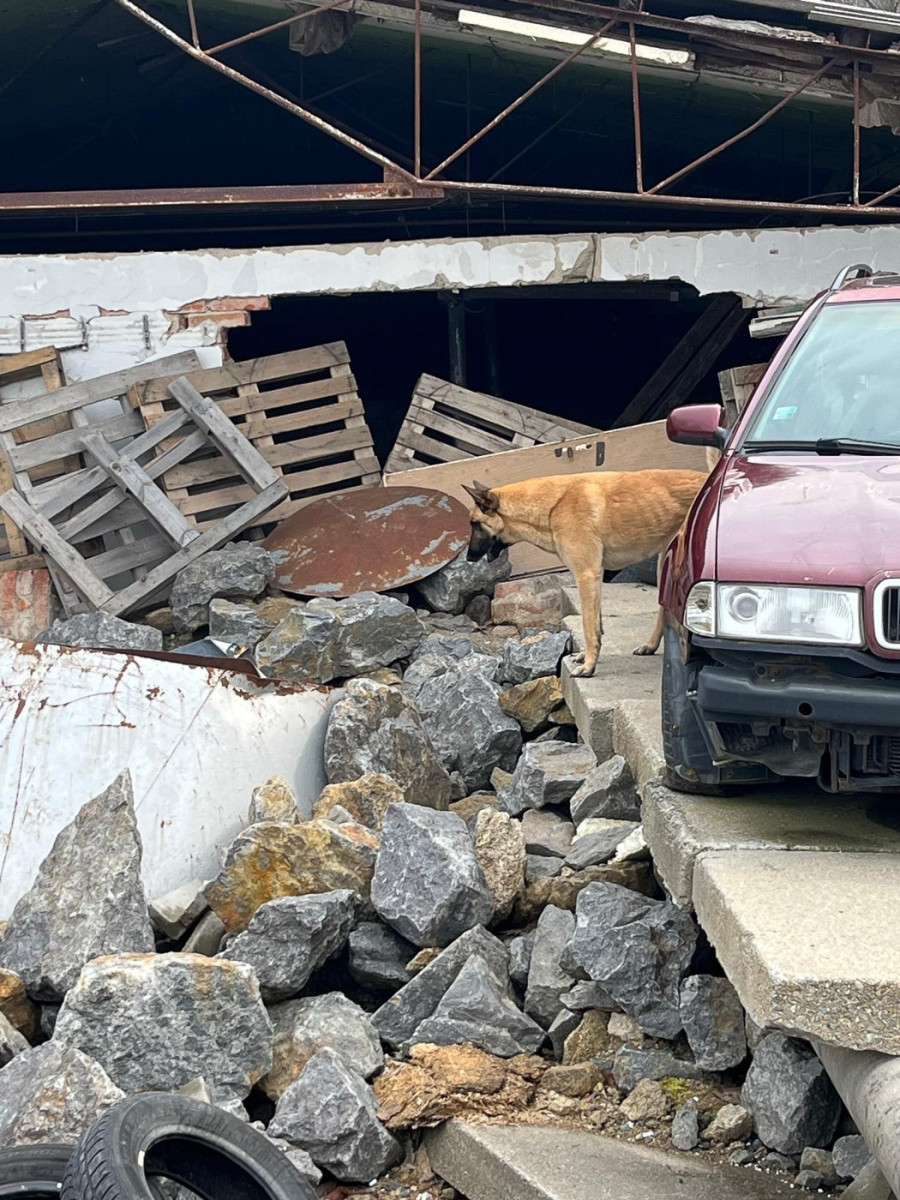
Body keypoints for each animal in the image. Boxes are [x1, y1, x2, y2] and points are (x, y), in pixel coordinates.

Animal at [464, 469, 707, 677]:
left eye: (474, 524)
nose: (468, 557)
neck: (553, 506)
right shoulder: (594, 578)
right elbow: (597, 627)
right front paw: (587, 657)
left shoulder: (586, 575)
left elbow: (589, 628)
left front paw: (590, 666)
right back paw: (650, 645)